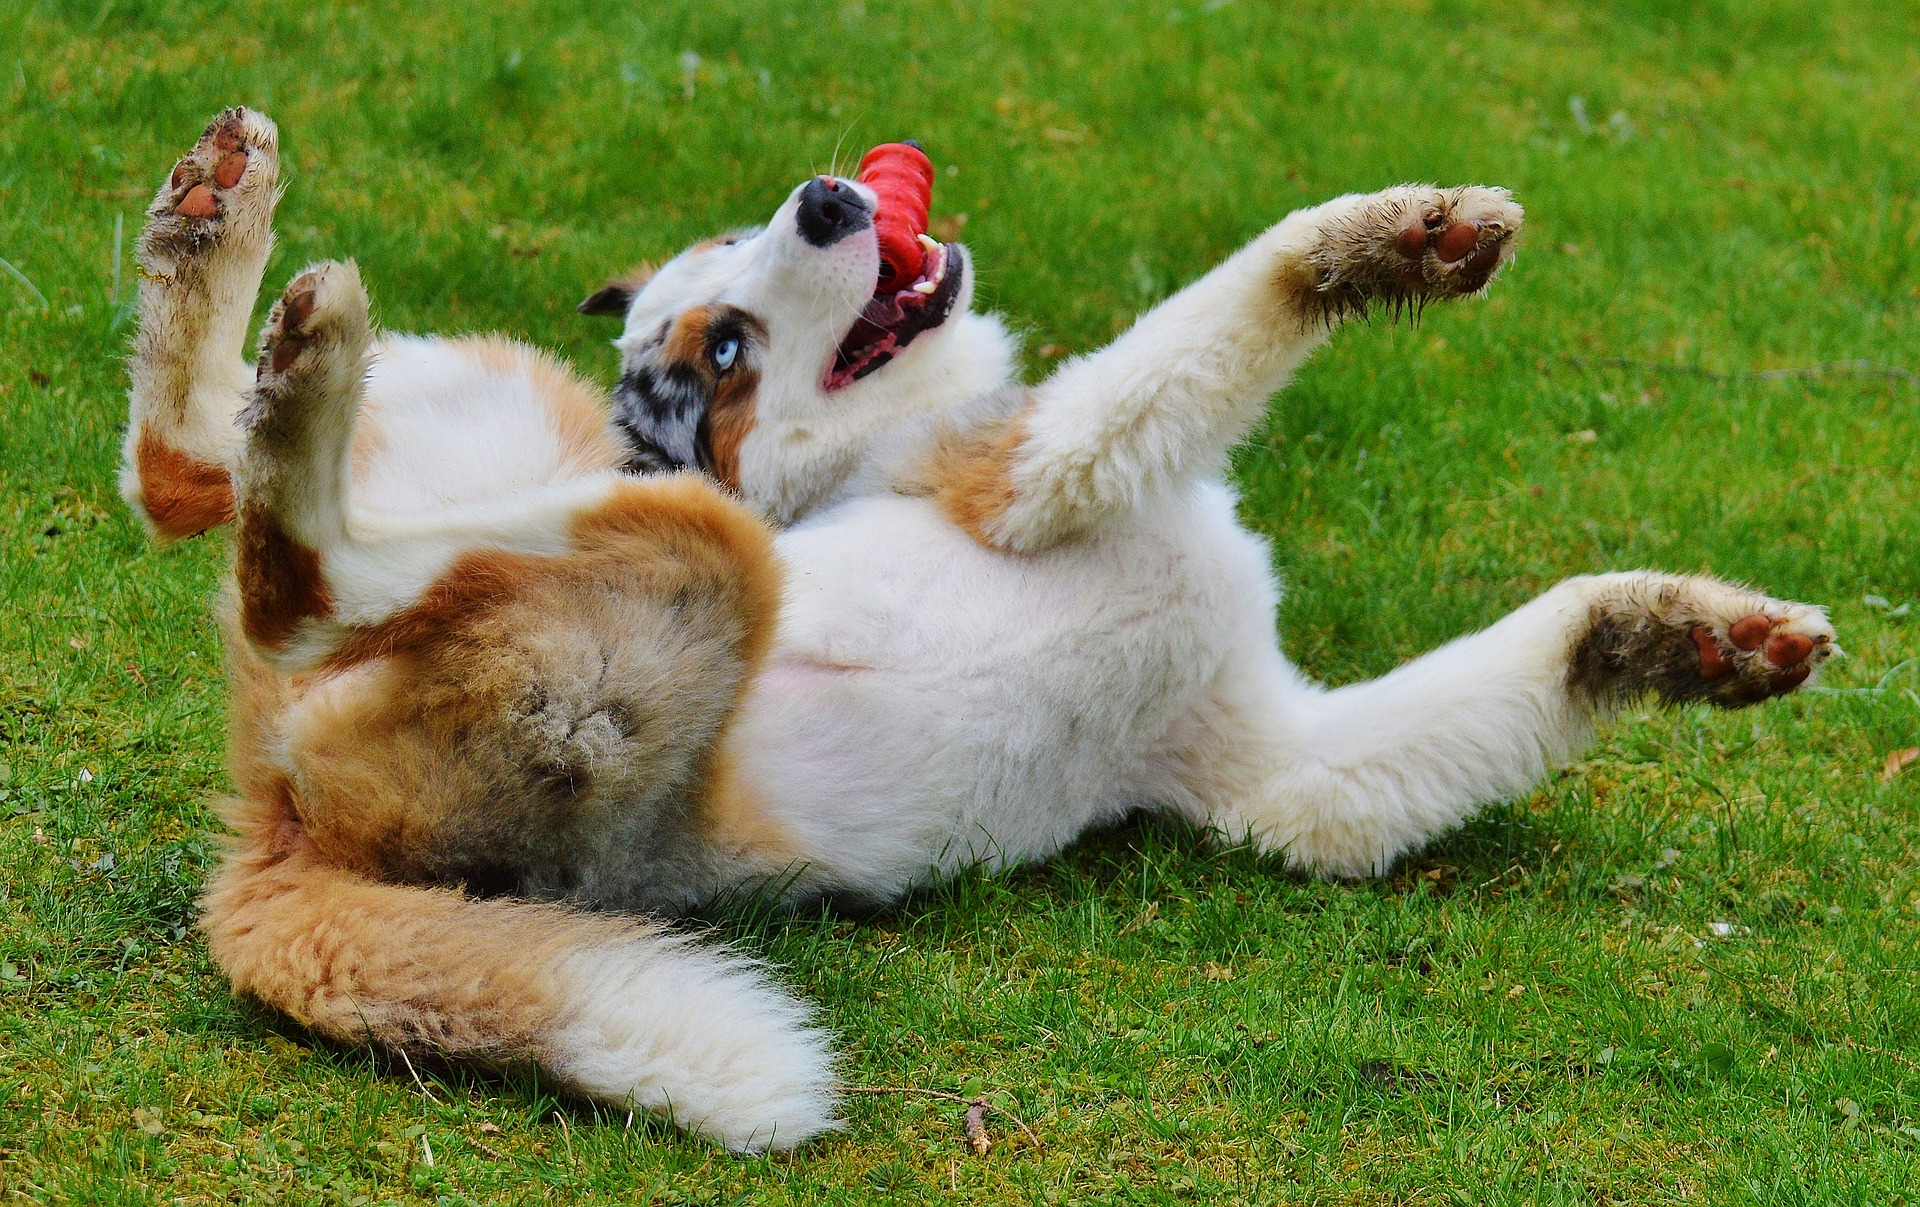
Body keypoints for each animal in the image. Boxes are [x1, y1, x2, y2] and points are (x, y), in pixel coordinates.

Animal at [123, 106, 1843, 1151]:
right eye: (725, 348)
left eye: (737, 251)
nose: (831, 196)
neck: (870, 439)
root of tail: (268, 822)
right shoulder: (1039, 473)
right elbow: (1221, 315)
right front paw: (1388, 242)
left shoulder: (1284, 774)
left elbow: (1502, 680)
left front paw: (1677, 638)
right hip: (688, 550)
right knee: (278, 557)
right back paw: (285, 326)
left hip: (513, 423)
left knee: (197, 479)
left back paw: (221, 235)